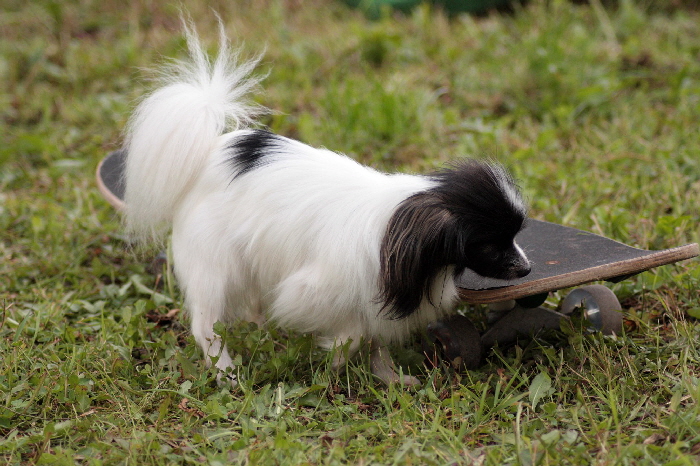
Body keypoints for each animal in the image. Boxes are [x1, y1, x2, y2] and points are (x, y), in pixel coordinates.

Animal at [124, 20, 532, 386]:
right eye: (490, 246)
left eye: (515, 237)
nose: (527, 269)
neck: (398, 230)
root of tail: (210, 150)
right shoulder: (318, 291)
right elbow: (352, 336)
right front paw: (334, 366)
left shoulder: (374, 304)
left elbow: (376, 344)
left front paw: (391, 379)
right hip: (215, 267)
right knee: (205, 326)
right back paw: (227, 372)